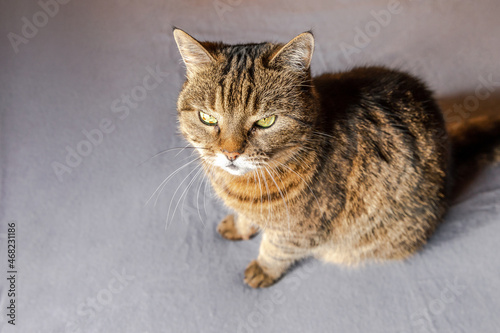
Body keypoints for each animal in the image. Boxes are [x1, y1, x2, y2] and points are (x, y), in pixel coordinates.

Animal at [173, 28, 500, 286]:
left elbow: (276, 250)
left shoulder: (301, 230)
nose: (230, 153)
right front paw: (240, 226)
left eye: (266, 121)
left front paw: (263, 270)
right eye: (207, 118)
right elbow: (246, 219)